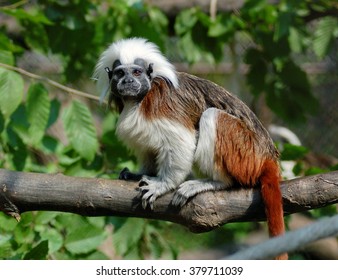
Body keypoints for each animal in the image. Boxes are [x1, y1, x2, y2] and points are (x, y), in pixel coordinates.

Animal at [94, 38, 288, 260]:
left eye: (136, 72)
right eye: (120, 73)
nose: (127, 82)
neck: (137, 100)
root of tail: (267, 155)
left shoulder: (161, 104)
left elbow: (181, 140)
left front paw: (163, 184)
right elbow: (147, 147)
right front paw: (140, 173)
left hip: (245, 152)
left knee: (211, 115)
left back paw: (216, 182)